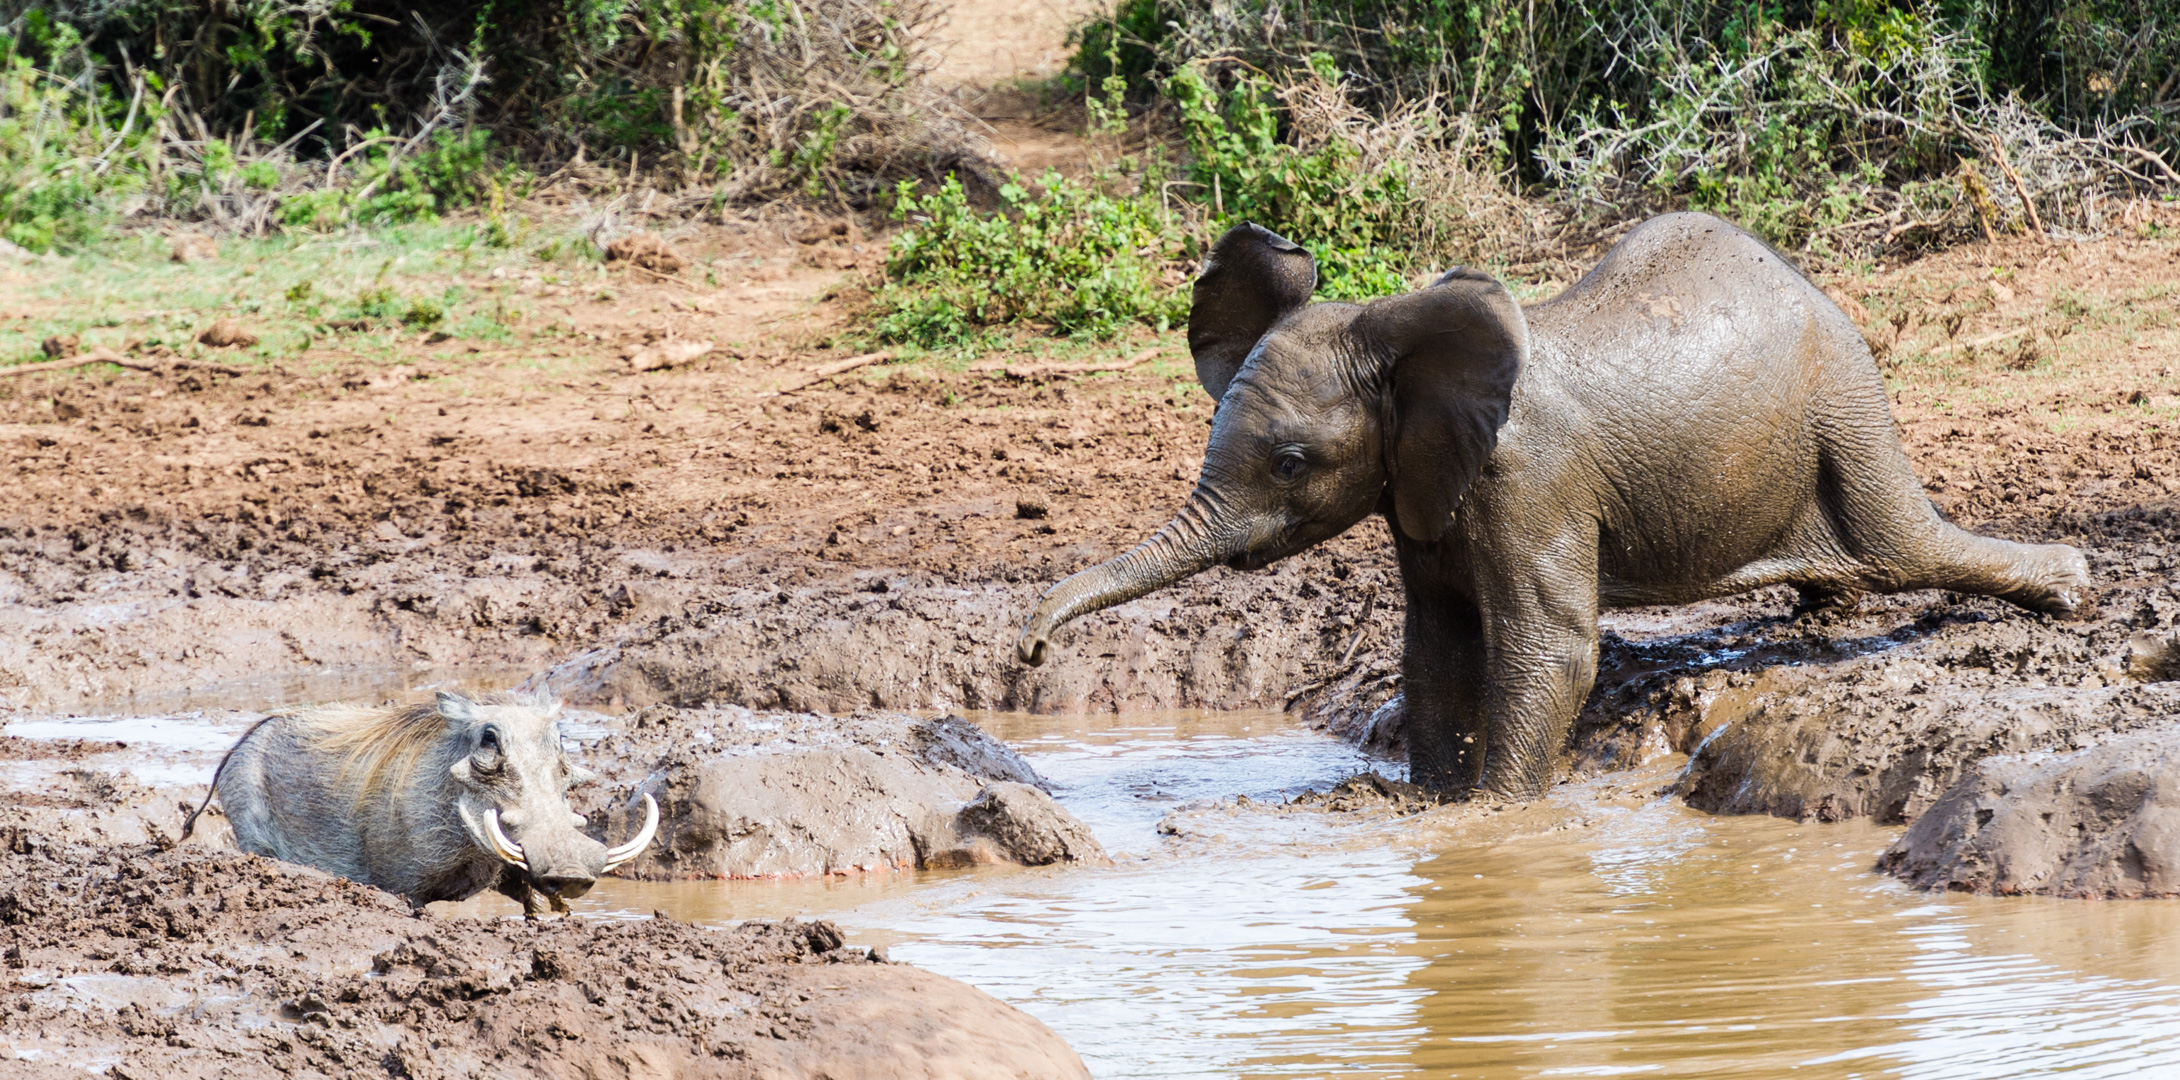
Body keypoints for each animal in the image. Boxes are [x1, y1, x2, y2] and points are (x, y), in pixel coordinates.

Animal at [184, 693, 654, 912]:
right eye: (489, 740)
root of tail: (244, 738)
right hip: (252, 837)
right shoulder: (403, 888)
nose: (572, 871)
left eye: (561, 743)